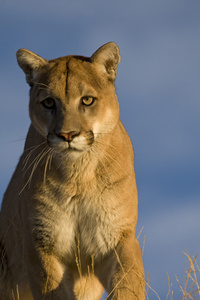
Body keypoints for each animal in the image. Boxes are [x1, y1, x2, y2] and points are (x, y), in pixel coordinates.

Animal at [0, 42, 144, 300]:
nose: (67, 135)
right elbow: (53, 290)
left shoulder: (117, 236)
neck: (79, 175)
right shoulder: (42, 245)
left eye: (87, 100)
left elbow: (128, 282)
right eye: (49, 102)